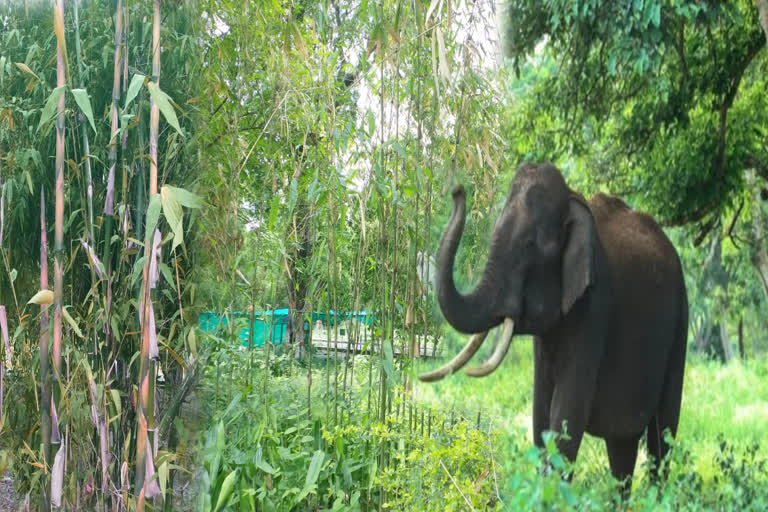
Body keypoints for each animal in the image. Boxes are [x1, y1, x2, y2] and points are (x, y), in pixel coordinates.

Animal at [420, 161, 688, 496]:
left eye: (529, 245)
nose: (457, 189)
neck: (572, 198)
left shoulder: (594, 305)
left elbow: (566, 416)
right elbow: (541, 415)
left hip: (680, 319)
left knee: (662, 438)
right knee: (622, 447)